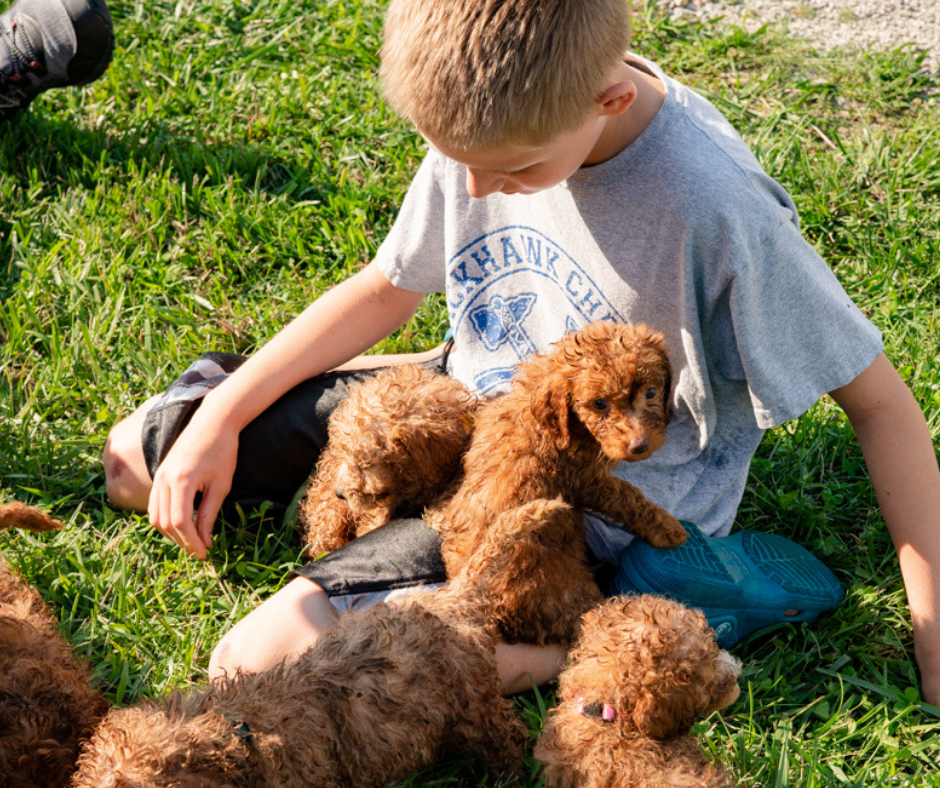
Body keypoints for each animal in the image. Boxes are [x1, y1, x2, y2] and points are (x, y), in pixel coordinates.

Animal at [430, 322, 688, 648]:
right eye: (599, 404)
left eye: (651, 392)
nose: (639, 445)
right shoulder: (585, 479)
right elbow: (627, 496)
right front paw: (666, 527)